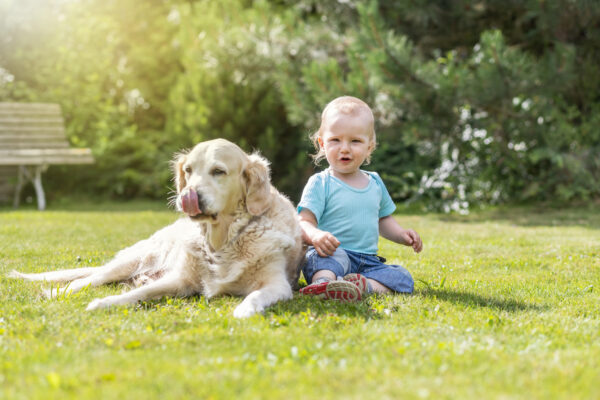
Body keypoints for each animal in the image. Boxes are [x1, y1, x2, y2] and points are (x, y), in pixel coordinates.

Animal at [10, 139, 304, 318]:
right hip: (133, 260)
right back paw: (58, 292)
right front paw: (104, 303)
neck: (221, 242)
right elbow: (138, 293)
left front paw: (244, 309)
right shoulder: (181, 279)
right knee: (87, 279)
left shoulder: (277, 283)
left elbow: (255, 295)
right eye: (188, 170)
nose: (187, 195)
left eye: (218, 171)